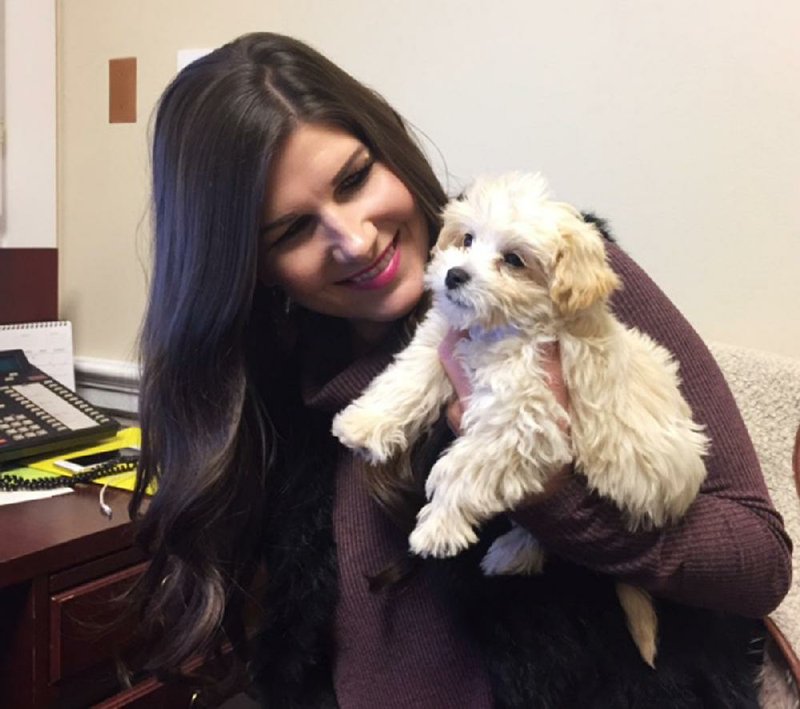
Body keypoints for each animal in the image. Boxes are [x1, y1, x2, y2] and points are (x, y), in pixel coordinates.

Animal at [332, 170, 708, 664]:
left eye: (513, 260)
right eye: (466, 239)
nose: (454, 274)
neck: (498, 329)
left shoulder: (523, 417)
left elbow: (464, 468)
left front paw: (438, 526)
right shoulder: (444, 343)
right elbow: (407, 378)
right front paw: (365, 425)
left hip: (616, 483)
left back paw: (509, 552)